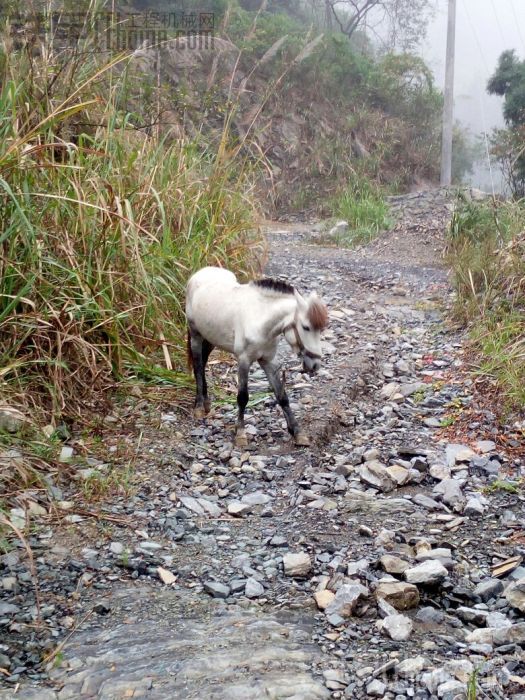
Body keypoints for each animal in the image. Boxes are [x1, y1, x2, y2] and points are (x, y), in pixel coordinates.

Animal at [185, 266, 328, 446]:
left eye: (321, 329)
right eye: (306, 327)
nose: (315, 365)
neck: (260, 318)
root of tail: (201, 272)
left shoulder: (268, 361)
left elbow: (282, 396)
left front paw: (297, 433)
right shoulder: (244, 361)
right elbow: (242, 397)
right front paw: (240, 433)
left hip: (211, 338)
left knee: (203, 363)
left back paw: (206, 403)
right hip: (196, 335)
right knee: (198, 366)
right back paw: (198, 406)